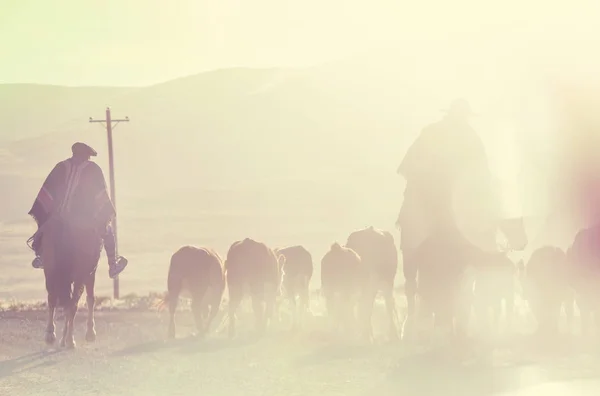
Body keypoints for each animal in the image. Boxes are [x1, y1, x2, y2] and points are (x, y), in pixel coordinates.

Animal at [40, 215, 102, 348]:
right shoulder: (90, 273)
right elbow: (90, 299)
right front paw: (90, 333)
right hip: (80, 275)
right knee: (72, 304)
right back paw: (69, 340)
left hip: (50, 271)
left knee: (53, 299)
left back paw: (51, 334)